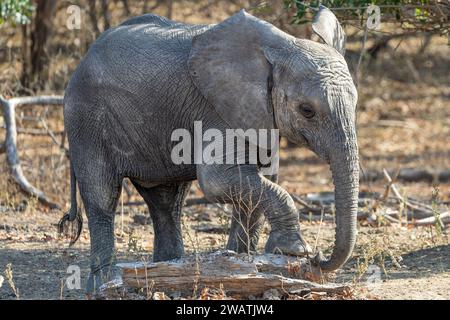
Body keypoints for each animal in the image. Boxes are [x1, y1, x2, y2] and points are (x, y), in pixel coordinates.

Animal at [59, 5, 360, 296]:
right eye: (307, 110)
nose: (318, 258)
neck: (278, 48)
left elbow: (261, 180)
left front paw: (245, 265)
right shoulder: (216, 110)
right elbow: (219, 181)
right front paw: (291, 251)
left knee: (166, 201)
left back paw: (166, 275)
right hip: (86, 120)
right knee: (103, 196)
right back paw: (107, 285)